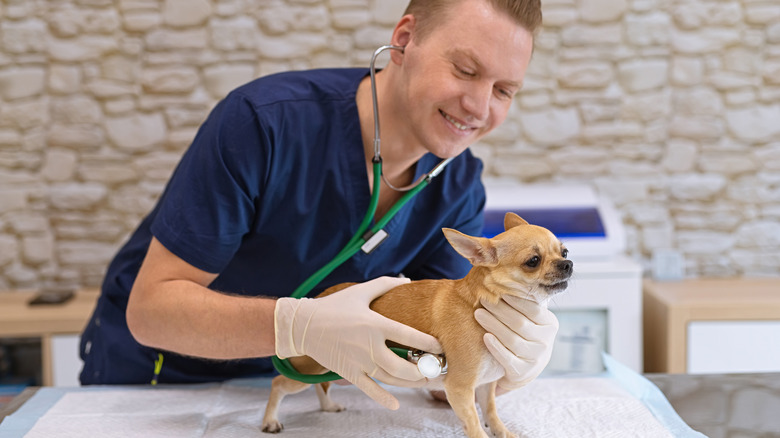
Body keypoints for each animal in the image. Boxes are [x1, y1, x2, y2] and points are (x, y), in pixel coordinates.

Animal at [262, 213, 572, 438]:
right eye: (533, 261)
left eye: (565, 251)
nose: (567, 264)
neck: (481, 306)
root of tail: (321, 297)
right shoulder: (459, 389)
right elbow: (473, 422)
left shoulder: (486, 386)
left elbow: (491, 412)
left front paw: (503, 432)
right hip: (311, 364)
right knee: (278, 383)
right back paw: (270, 420)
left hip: (334, 366)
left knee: (320, 386)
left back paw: (327, 406)